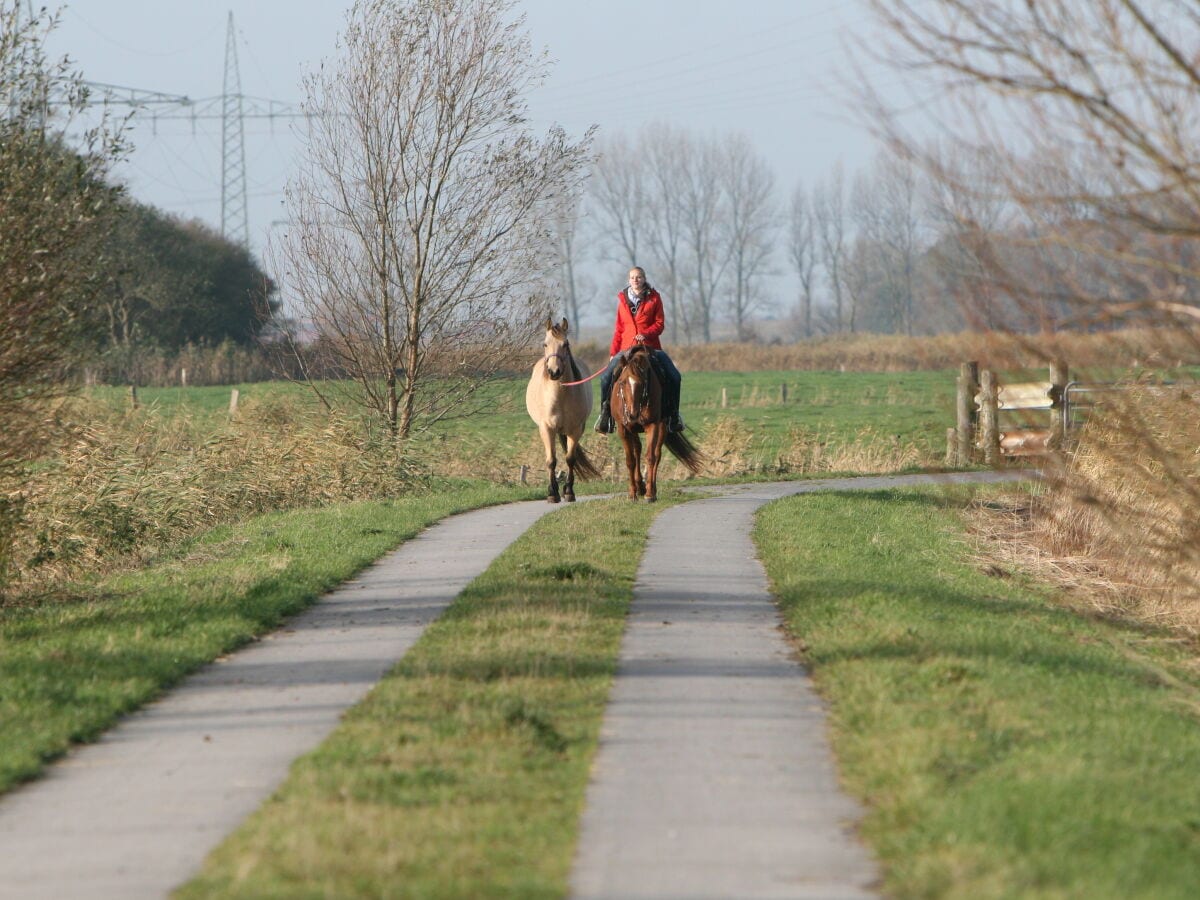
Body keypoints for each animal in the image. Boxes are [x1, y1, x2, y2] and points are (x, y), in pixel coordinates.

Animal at [525, 316, 600, 504]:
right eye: (545, 344)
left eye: (565, 344)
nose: (554, 371)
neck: (560, 395)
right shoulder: (547, 429)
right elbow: (551, 461)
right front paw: (552, 493)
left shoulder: (575, 429)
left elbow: (570, 459)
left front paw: (569, 492)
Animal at [609, 343, 700, 501]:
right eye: (622, 382)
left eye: (642, 383)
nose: (632, 414)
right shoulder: (623, 428)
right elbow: (630, 460)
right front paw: (632, 493)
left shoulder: (652, 425)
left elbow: (651, 457)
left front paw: (650, 494)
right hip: (633, 429)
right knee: (637, 450)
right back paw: (639, 487)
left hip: (662, 427)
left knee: (656, 455)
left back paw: (650, 489)